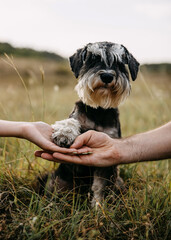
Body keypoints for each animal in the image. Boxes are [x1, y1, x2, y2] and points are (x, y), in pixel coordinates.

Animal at [39, 41, 139, 206]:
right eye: (93, 59)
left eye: (119, 63)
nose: (107, 76)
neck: (99, 110)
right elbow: (71, 121)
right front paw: (65, 133)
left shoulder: (107, 160)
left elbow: (100, 187)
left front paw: (98, 208)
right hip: (57, 179)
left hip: (118, 182)